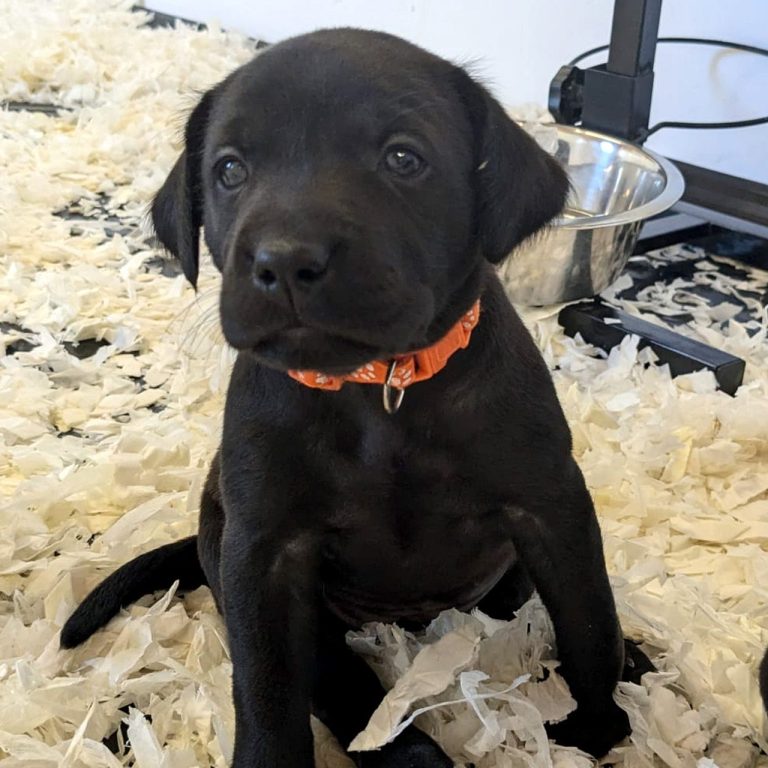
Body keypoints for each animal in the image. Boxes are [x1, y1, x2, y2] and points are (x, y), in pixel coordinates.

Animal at [61, 28, 648, 768]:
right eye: (229, 170)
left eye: (403, 158)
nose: (285, 260)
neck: (379, 390)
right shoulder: (264, 555)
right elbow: (268, 689)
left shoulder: (551, 507)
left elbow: (590, 620)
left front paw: (599, 725)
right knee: (339, 684)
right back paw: (411, 752)